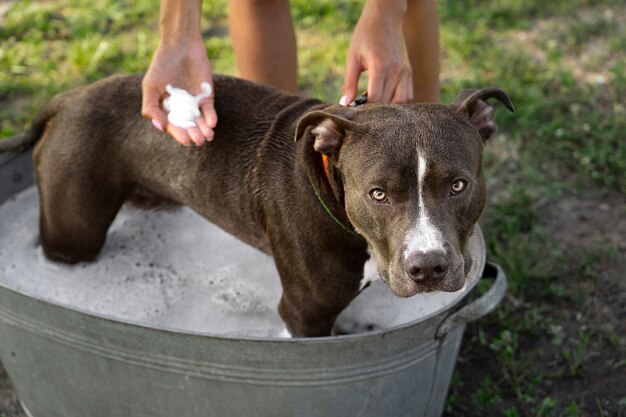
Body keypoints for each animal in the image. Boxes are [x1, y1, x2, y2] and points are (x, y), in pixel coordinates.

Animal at [1, 74, 512, 334]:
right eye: (378, 194)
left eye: (459, 186)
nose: (428, 268)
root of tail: (67, 97)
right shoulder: (305, 315)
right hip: (73, 232)